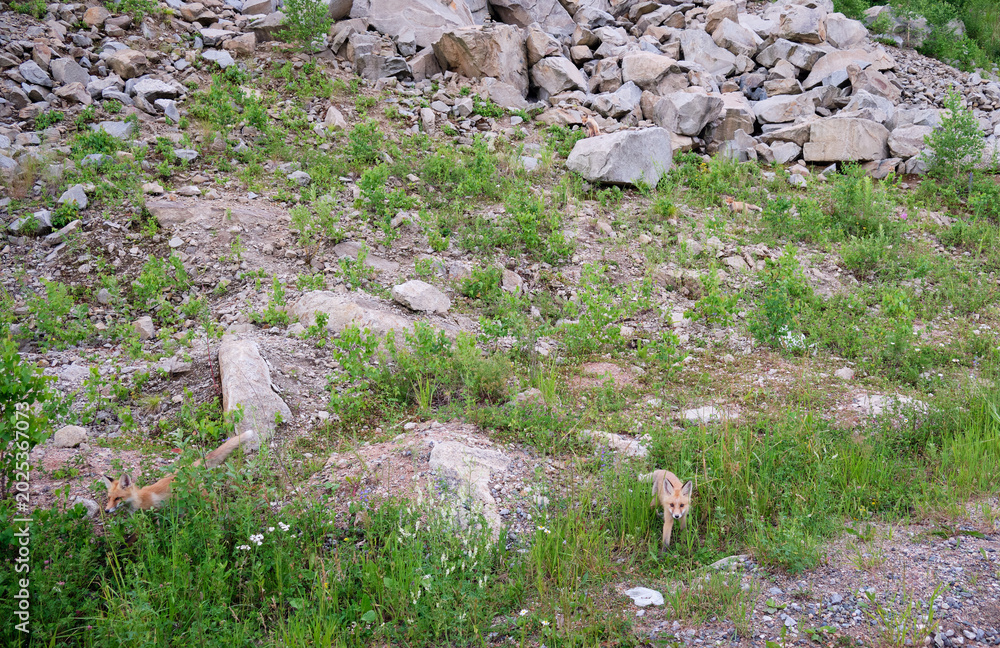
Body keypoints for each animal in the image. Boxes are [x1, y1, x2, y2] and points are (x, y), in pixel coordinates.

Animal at [102, 430, 256, 513]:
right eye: (109, 498)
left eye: (118, 498)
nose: (106, 511)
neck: (139, 498)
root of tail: (191, 466)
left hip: (203, 495)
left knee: (213, 502)